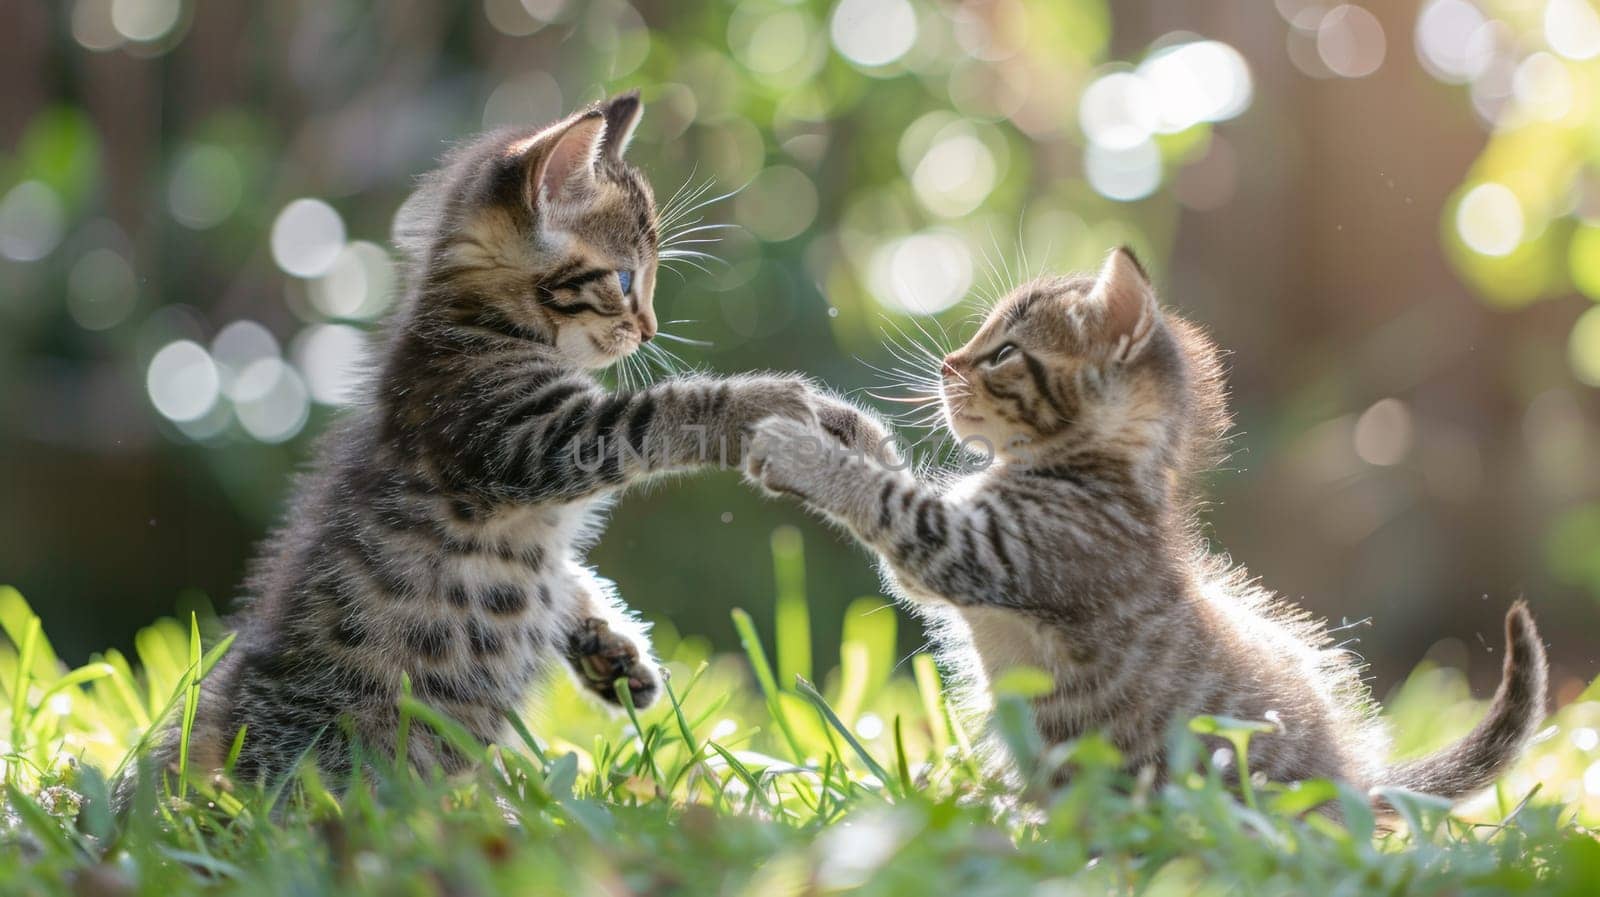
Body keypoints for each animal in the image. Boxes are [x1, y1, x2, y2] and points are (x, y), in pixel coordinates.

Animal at [121, 94, 825, 799]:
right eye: (625, 279)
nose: (649, 330)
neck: (481, 323)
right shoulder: (526, 437)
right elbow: (658, 413)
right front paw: (766, 402)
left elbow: (561, 572)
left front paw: (611, 648)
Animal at [745, 247, 1548, 799]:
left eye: (1004, 352)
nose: (947, 363)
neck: (1091, 471)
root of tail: (1353, 782)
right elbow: (889, 473)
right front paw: (836, 422)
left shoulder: (979, 550)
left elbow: (888, 497)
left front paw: (799, 449)